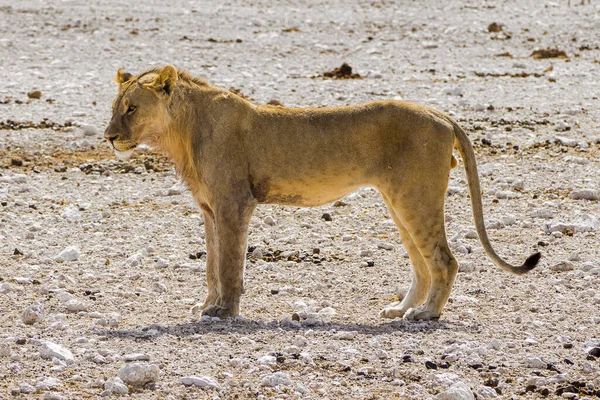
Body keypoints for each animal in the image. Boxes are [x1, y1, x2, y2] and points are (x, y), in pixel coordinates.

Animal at [105, 65, 540, 322]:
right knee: (422, 264)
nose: (108, 137)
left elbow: (229, 265)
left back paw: (425, 315)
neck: (181, 132)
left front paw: (225, 312)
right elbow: (212, 263)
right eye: (115, 107)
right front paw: (208, 305)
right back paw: (400, 308)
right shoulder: (210, 209)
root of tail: (442, 114)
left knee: (445, 260)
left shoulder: (234, 204)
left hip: (416, 198)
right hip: (399, 201)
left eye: (131, 108)